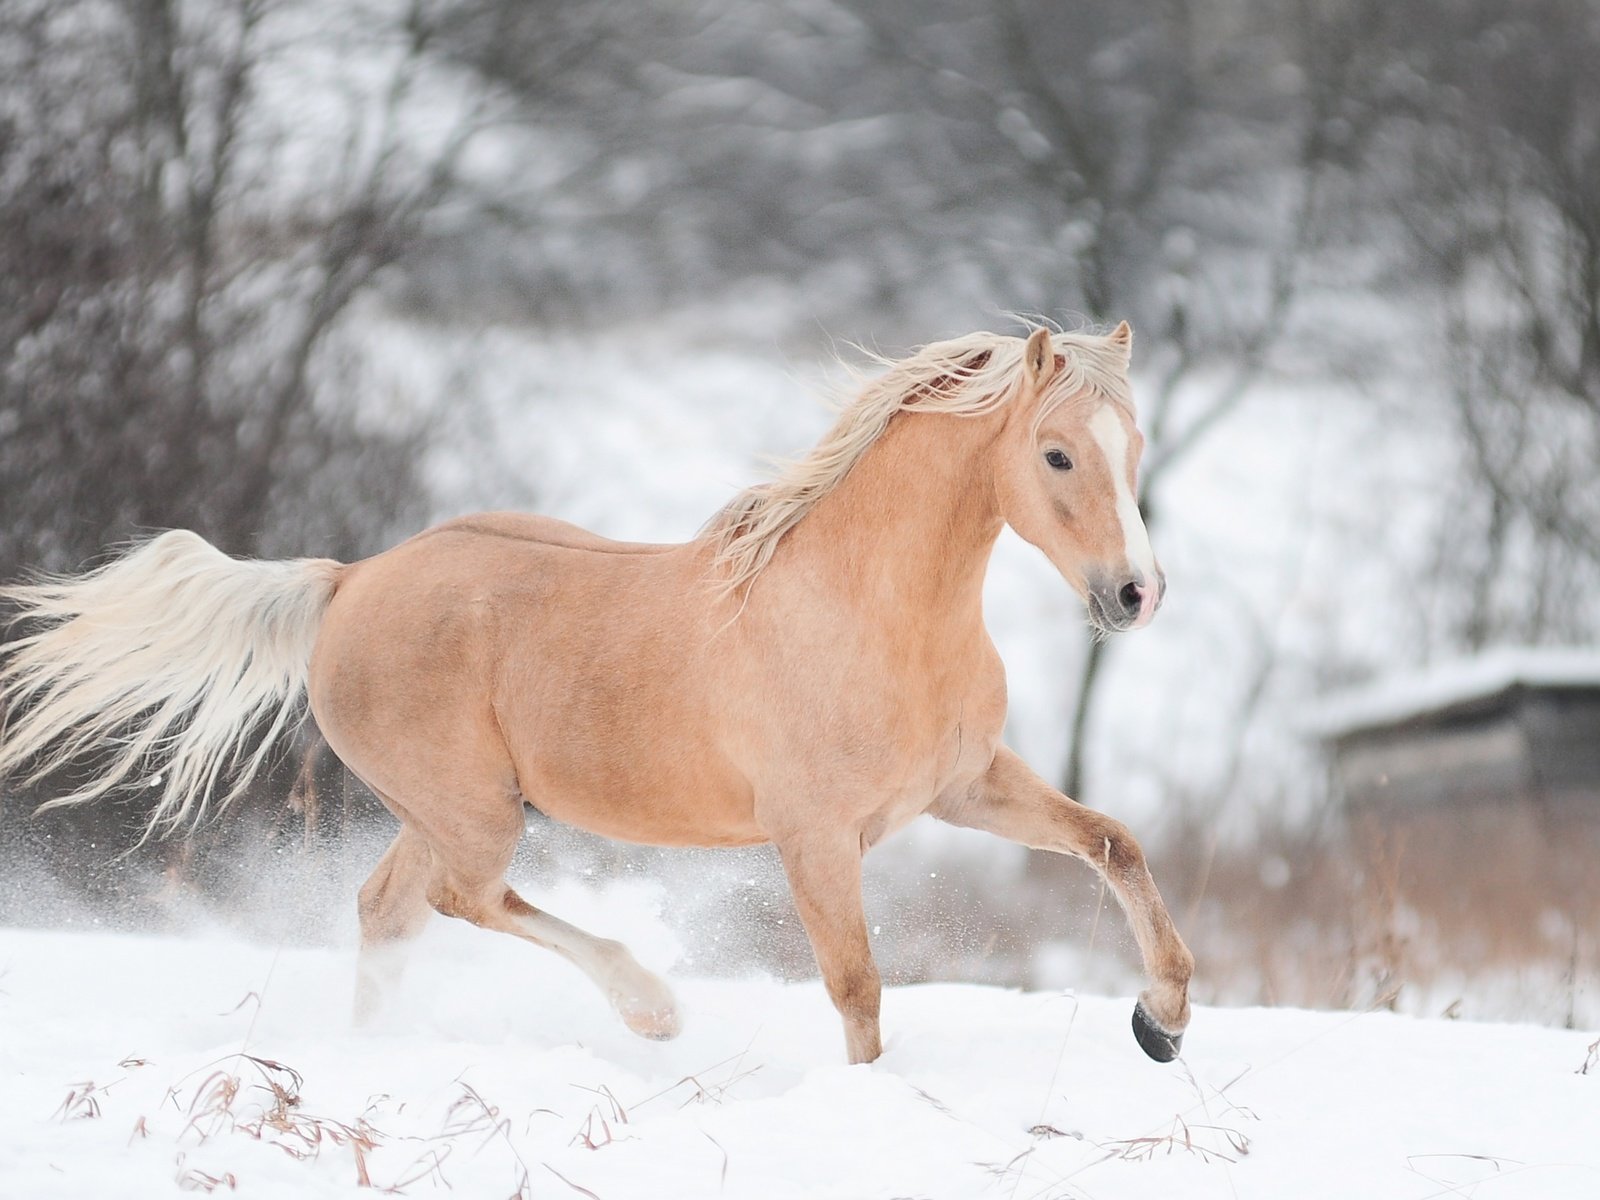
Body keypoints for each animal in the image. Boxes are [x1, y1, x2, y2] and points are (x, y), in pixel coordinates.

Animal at [0, 324, 1190, 1068]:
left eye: (1133, 446)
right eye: (1056, 455)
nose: (1136, 594)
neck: (868, 611)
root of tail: (348, 581)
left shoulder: (965, 788)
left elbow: (1115, 842)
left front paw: (1164, 1018)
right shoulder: (814, 837)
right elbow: (857, 987)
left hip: (440, 813)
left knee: (389, 909)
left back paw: (379, 1051)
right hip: (474, 812)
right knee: (462, 901)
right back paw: (649, 1007)